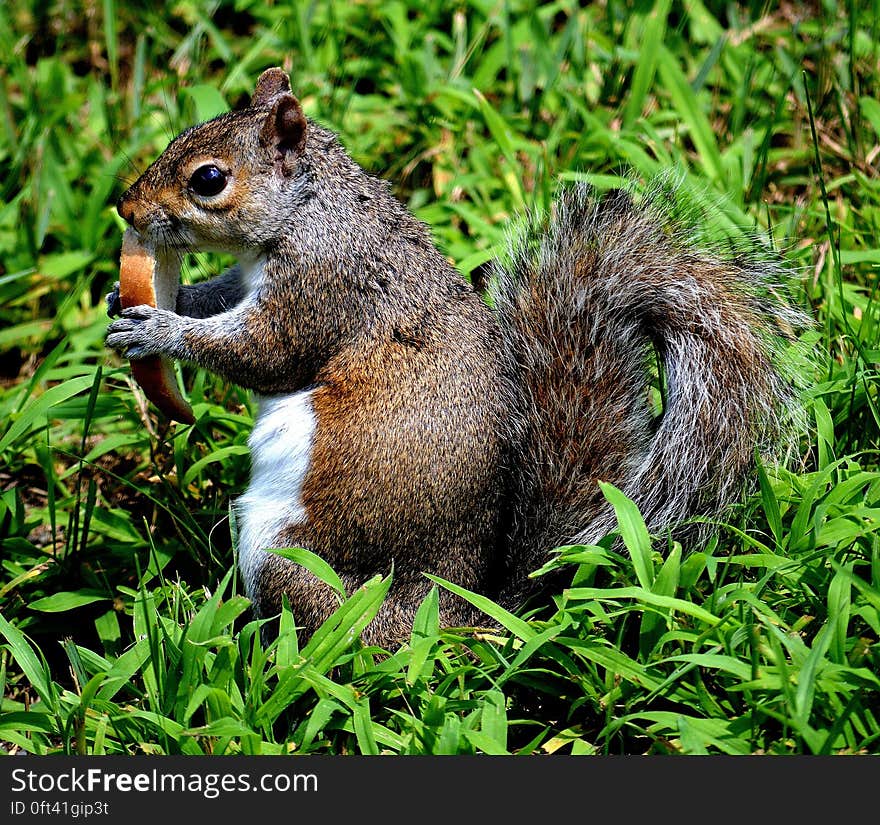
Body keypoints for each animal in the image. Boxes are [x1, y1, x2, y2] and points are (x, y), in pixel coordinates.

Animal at [106, 67, 808, 648]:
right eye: (183, 135)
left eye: (209, 178)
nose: (127, 207)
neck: (311, 210)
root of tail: (461, 619)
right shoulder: (252, 276)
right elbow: (218, 297)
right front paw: (141, 298)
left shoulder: (325, 289)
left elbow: (265, 354)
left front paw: (159, 330)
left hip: (296, 569)